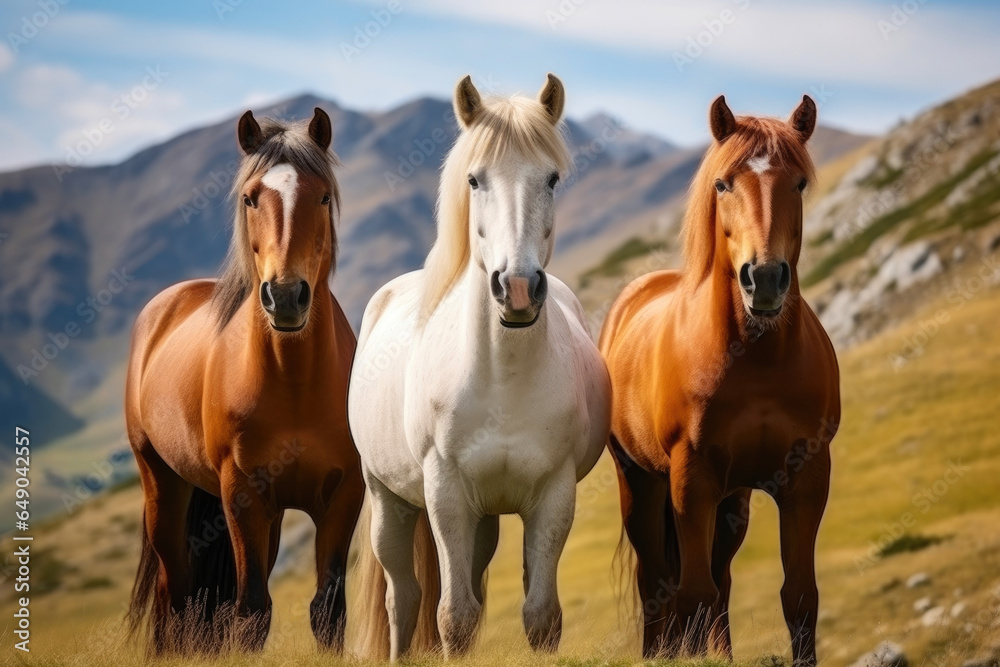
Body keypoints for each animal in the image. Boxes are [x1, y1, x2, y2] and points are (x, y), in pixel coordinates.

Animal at [123, 107, 362, 656]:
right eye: (251, 197)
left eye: (323, 196)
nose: (286, 296)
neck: (294, 383)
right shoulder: (241, 496)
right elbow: (252, 611)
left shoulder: (343, 495)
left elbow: (328, 611)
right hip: (161, 486)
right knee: (174, 591)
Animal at [348, 74, 612, 664]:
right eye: (474, 179)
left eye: (551, 178)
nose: (517, 288)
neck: (502, 380)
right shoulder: (445, 494)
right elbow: (455, 618)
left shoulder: (553, 496)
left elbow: (541, 616)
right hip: (388, 500)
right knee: (403, 598)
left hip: (486, 517)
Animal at [600, 95, 844, 667]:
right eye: (722, 184)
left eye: (799, 183)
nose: (765, 279)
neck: (757, 363)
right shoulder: (692, 477)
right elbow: (691, 592)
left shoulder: (807, 476)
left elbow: (799, 595)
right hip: (640, 484)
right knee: (657, 580)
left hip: (734, 501)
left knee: (720, 578)